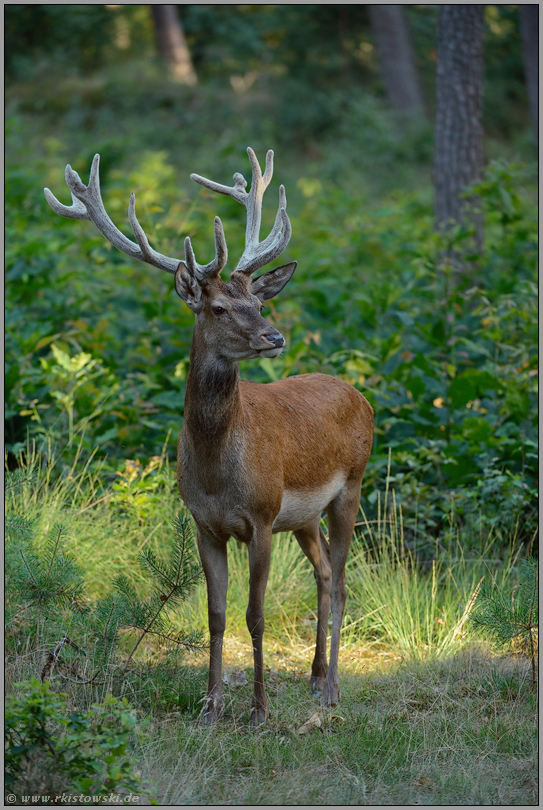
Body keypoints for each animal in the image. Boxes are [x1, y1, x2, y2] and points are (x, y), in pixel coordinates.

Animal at [44, 147, 374, 726]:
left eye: (259, 305)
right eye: (218, 307)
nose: (274, 336)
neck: (219, 469)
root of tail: (361, 396)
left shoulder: (261, 517)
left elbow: (256, 614)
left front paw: (259, 709)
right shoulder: (204, 523)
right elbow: (216, 614)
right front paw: (211, 704)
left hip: (351, 487)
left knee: (341, 585)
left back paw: (332, 689)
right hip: (304, 516)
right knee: (323, 576)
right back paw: (313, 677)